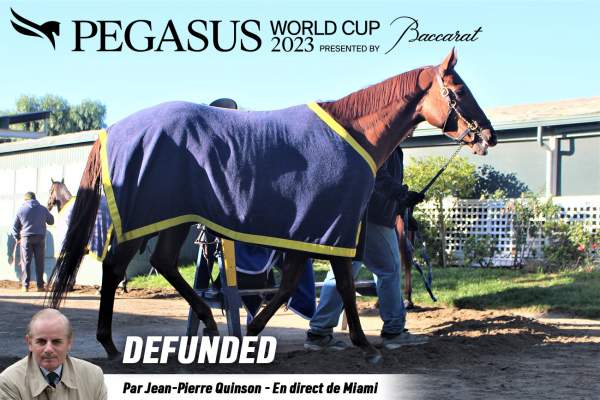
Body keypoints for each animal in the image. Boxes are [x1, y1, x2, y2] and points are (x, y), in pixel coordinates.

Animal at [47, 49, 496, 364]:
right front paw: (365, 346)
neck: (355, 133)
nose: (487, 135)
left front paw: (251, 334)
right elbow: (343, 286)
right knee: (114, 267)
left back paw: (206, 322)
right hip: (145, 216)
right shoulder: (334, 226)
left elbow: (287, 286)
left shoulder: (312, 231)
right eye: (459, 92)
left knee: (164, 263)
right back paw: (109, 343)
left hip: (176, 218)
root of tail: (114, 129)